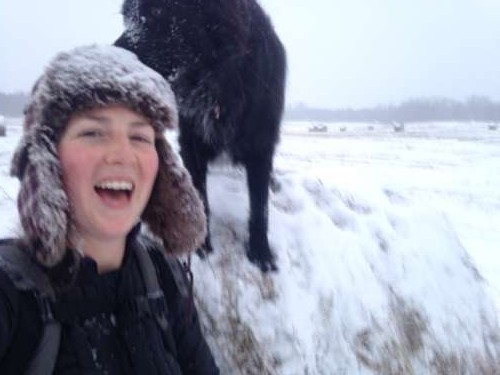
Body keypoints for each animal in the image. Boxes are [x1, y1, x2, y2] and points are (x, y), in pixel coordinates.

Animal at [114, 0, 286, 272]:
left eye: (157, 12)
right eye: (126, 18)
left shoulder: (261, 145)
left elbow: (260, 207)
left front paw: (261, 253)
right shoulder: (192, 144)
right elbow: (201, 199)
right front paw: (201, 246)